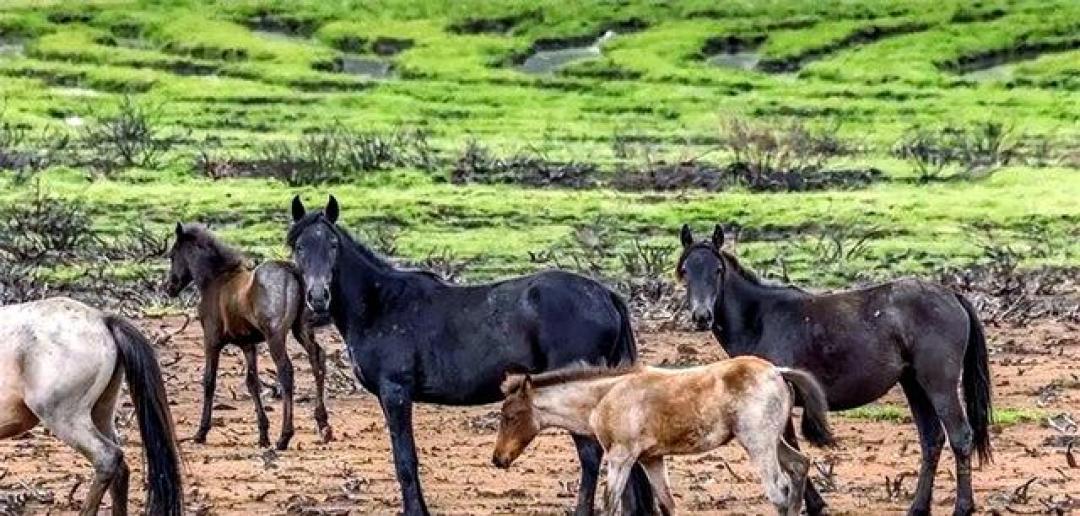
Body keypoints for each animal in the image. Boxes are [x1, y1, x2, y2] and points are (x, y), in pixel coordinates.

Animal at [165, 222, 332, 450]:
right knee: (317, 359)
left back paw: (285, 436)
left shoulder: (211, 340)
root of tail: (291, 271)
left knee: (286, 371)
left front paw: (201, 432)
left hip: (275, 336)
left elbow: (209, 381)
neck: (215, 279)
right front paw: (263, 435)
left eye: (173, 255)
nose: (169, 288)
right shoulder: (248, 344)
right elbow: (252, 382)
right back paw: (323, 426)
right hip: (301, 329)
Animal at [287, 195, 655, 516]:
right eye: (299, 246)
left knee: (590, 456)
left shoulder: (395, 393)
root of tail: (606, 295)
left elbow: (404, 460)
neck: (380, 304)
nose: (318, 297)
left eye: (332, 245)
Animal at [493, 356, 835, 516]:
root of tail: (777, 371)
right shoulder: (652, 460)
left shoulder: (621, 458)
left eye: (510, 416)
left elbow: (611, 504)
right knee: (800, 466)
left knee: (780, 490)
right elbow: (667, 504)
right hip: (774, 442)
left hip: (758, 445)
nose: (498, 459)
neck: (605, 396)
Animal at [676, 224, 993, 516]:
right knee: (931, 440)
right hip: (914, 385)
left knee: (960, 437)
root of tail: (952, 296)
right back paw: (918, 507)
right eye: (686, 271)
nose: (702, 316)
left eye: (718, 270)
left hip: (939, 385)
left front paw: (812, 504)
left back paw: (962, 507)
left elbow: (790, 451)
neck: (761, 319)